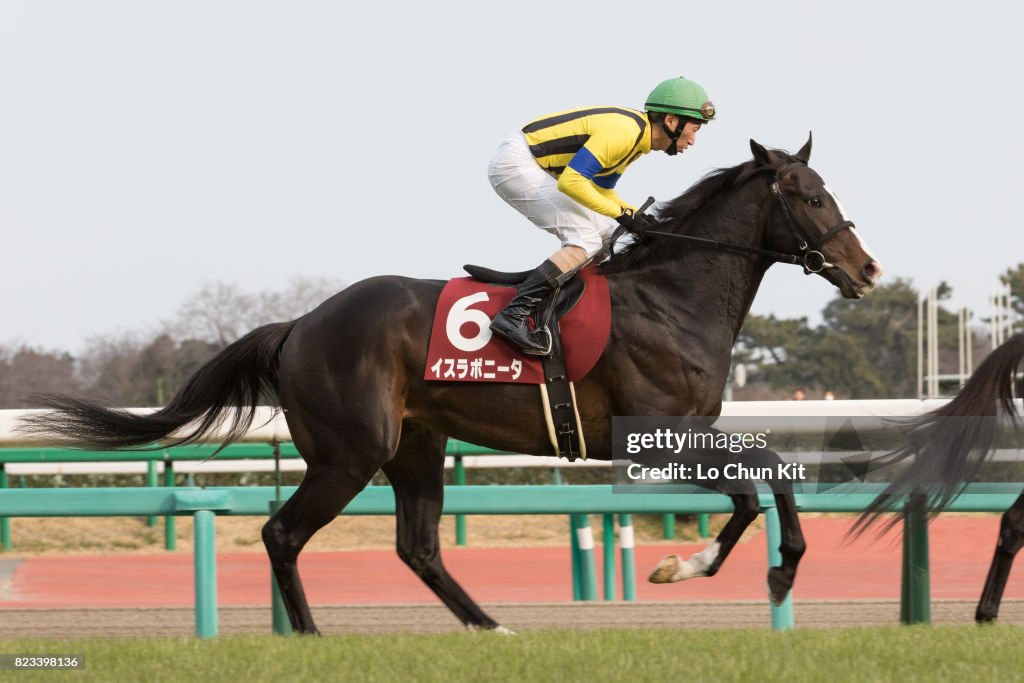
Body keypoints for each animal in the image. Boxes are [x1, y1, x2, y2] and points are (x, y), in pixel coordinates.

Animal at [25, 136, 888, 634]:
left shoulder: (686, 430)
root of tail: (299, 324)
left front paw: (770, 564)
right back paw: (312, 637)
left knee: (418, 545)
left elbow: (771, 470)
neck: (672, 295)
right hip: (351, 451)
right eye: (811, 196)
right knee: (283, 533)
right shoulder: (652, 436)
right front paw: (696, 565)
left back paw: (490, 626)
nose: (868, 268)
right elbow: (753, 486)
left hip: (415, 445)